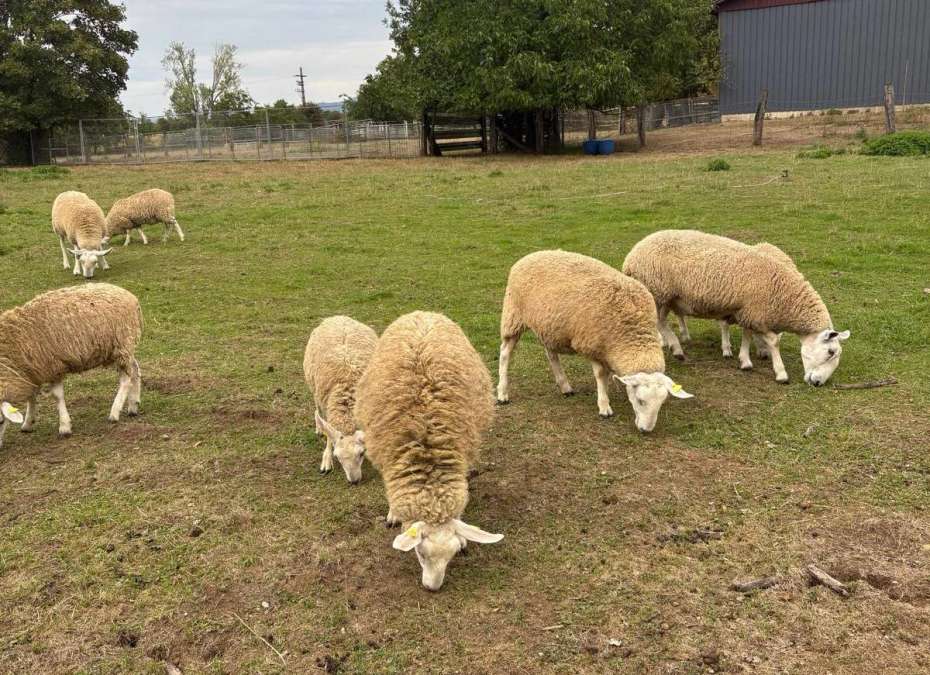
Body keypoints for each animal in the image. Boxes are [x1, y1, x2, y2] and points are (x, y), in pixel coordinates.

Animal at [0, 283, 143, 450]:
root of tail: (130, 296)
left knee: (126, 379)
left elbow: (57, 396)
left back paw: (114, 413)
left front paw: (64, 427)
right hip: (122, 349)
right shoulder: (32, 371)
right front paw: (28, 423)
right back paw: (133, 405)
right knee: (135, 370)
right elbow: (32, 396)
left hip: (122, 343)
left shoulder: (53, 367)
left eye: (1, 421)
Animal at [302, 315, 378, 484]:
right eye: (338, 457)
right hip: (315, 391)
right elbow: (330, 436)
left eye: (361, 453)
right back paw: (319, 427)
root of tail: (338, 317)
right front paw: (326, 460)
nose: (354, 481)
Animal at [496, 250, 694, 432]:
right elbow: (600, 375)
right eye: (640, 400)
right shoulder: (593, 345)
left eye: (661, 402)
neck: (633, 333)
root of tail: (531, 255)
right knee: (505, 353)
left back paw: (565, 386)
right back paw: (502, 393)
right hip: (513, 315)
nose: (646, 430)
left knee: (551, 354)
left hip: (549, 325)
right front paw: (604, 406)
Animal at [622, 230, 850, 385]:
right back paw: (676, 348)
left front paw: (745, 359)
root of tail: (632, 255)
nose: (818, 383)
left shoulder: (748, 311)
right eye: (830, 352)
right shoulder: (755, 313)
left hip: (667, 297)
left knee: (662, 321)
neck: (783, 292)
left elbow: (747, 334)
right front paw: (781, 373)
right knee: (659, 322)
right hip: (657, 291)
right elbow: (774, 341)